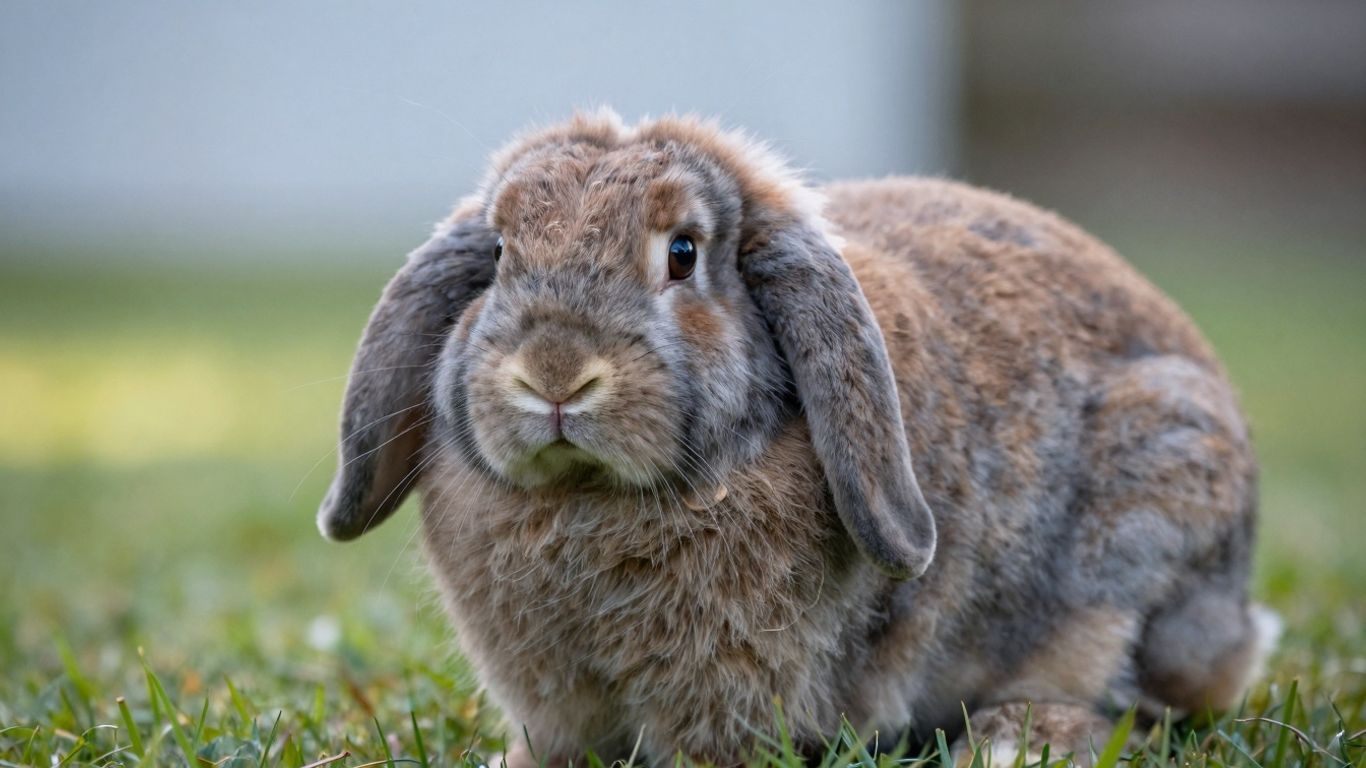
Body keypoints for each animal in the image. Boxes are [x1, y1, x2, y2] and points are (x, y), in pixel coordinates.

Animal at [317, 109, 1277, 767]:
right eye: (501, 253)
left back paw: (1011, 744)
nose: (554, 373)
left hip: (1147, 524)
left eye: (682, 253)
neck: (591, 496)